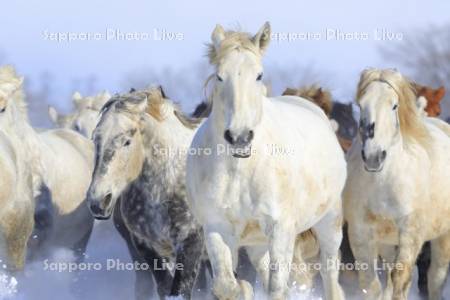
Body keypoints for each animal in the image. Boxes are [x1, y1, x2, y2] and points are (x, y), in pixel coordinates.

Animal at [185, 22, 346, 300]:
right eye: (219, 76)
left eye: (259, 75)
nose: (239, 137)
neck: (242, 169)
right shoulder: (216, 227)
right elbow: (226, 285)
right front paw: (243, 288)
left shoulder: (281, 228)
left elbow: (276, 287)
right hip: (258, 243)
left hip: (329, 222)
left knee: (329, 275)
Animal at [342, 68, 450, 300]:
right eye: (361, 105)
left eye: (394, 105)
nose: (373, 157)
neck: (384, 183)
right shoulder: (360, 232)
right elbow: (371, 283)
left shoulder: (411, 233)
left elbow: (401, 279)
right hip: (387, 242)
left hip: (443, 237)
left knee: (435, 277)